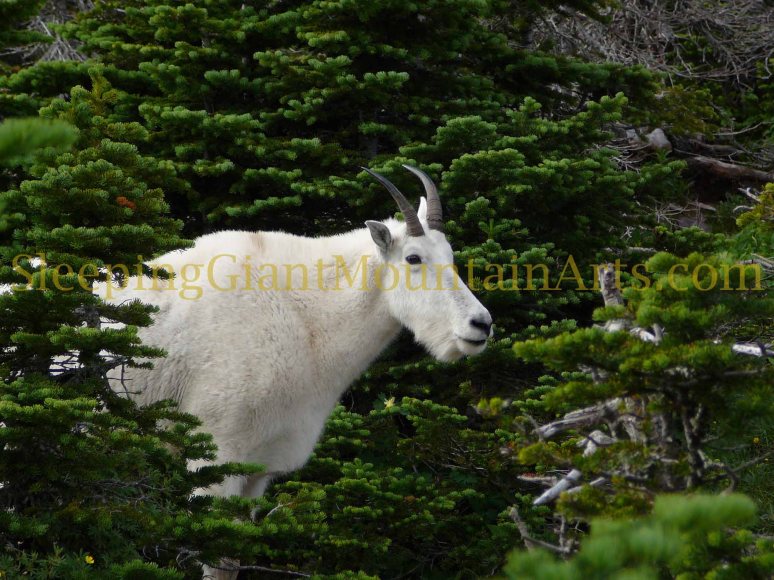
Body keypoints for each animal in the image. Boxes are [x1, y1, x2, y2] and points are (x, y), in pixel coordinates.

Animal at [103, 165, 492, 578]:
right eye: (414, 258)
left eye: (451, 255)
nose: (480, 324)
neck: (307, 319)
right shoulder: (215, 455)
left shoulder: (257, 469)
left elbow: (231, 557)